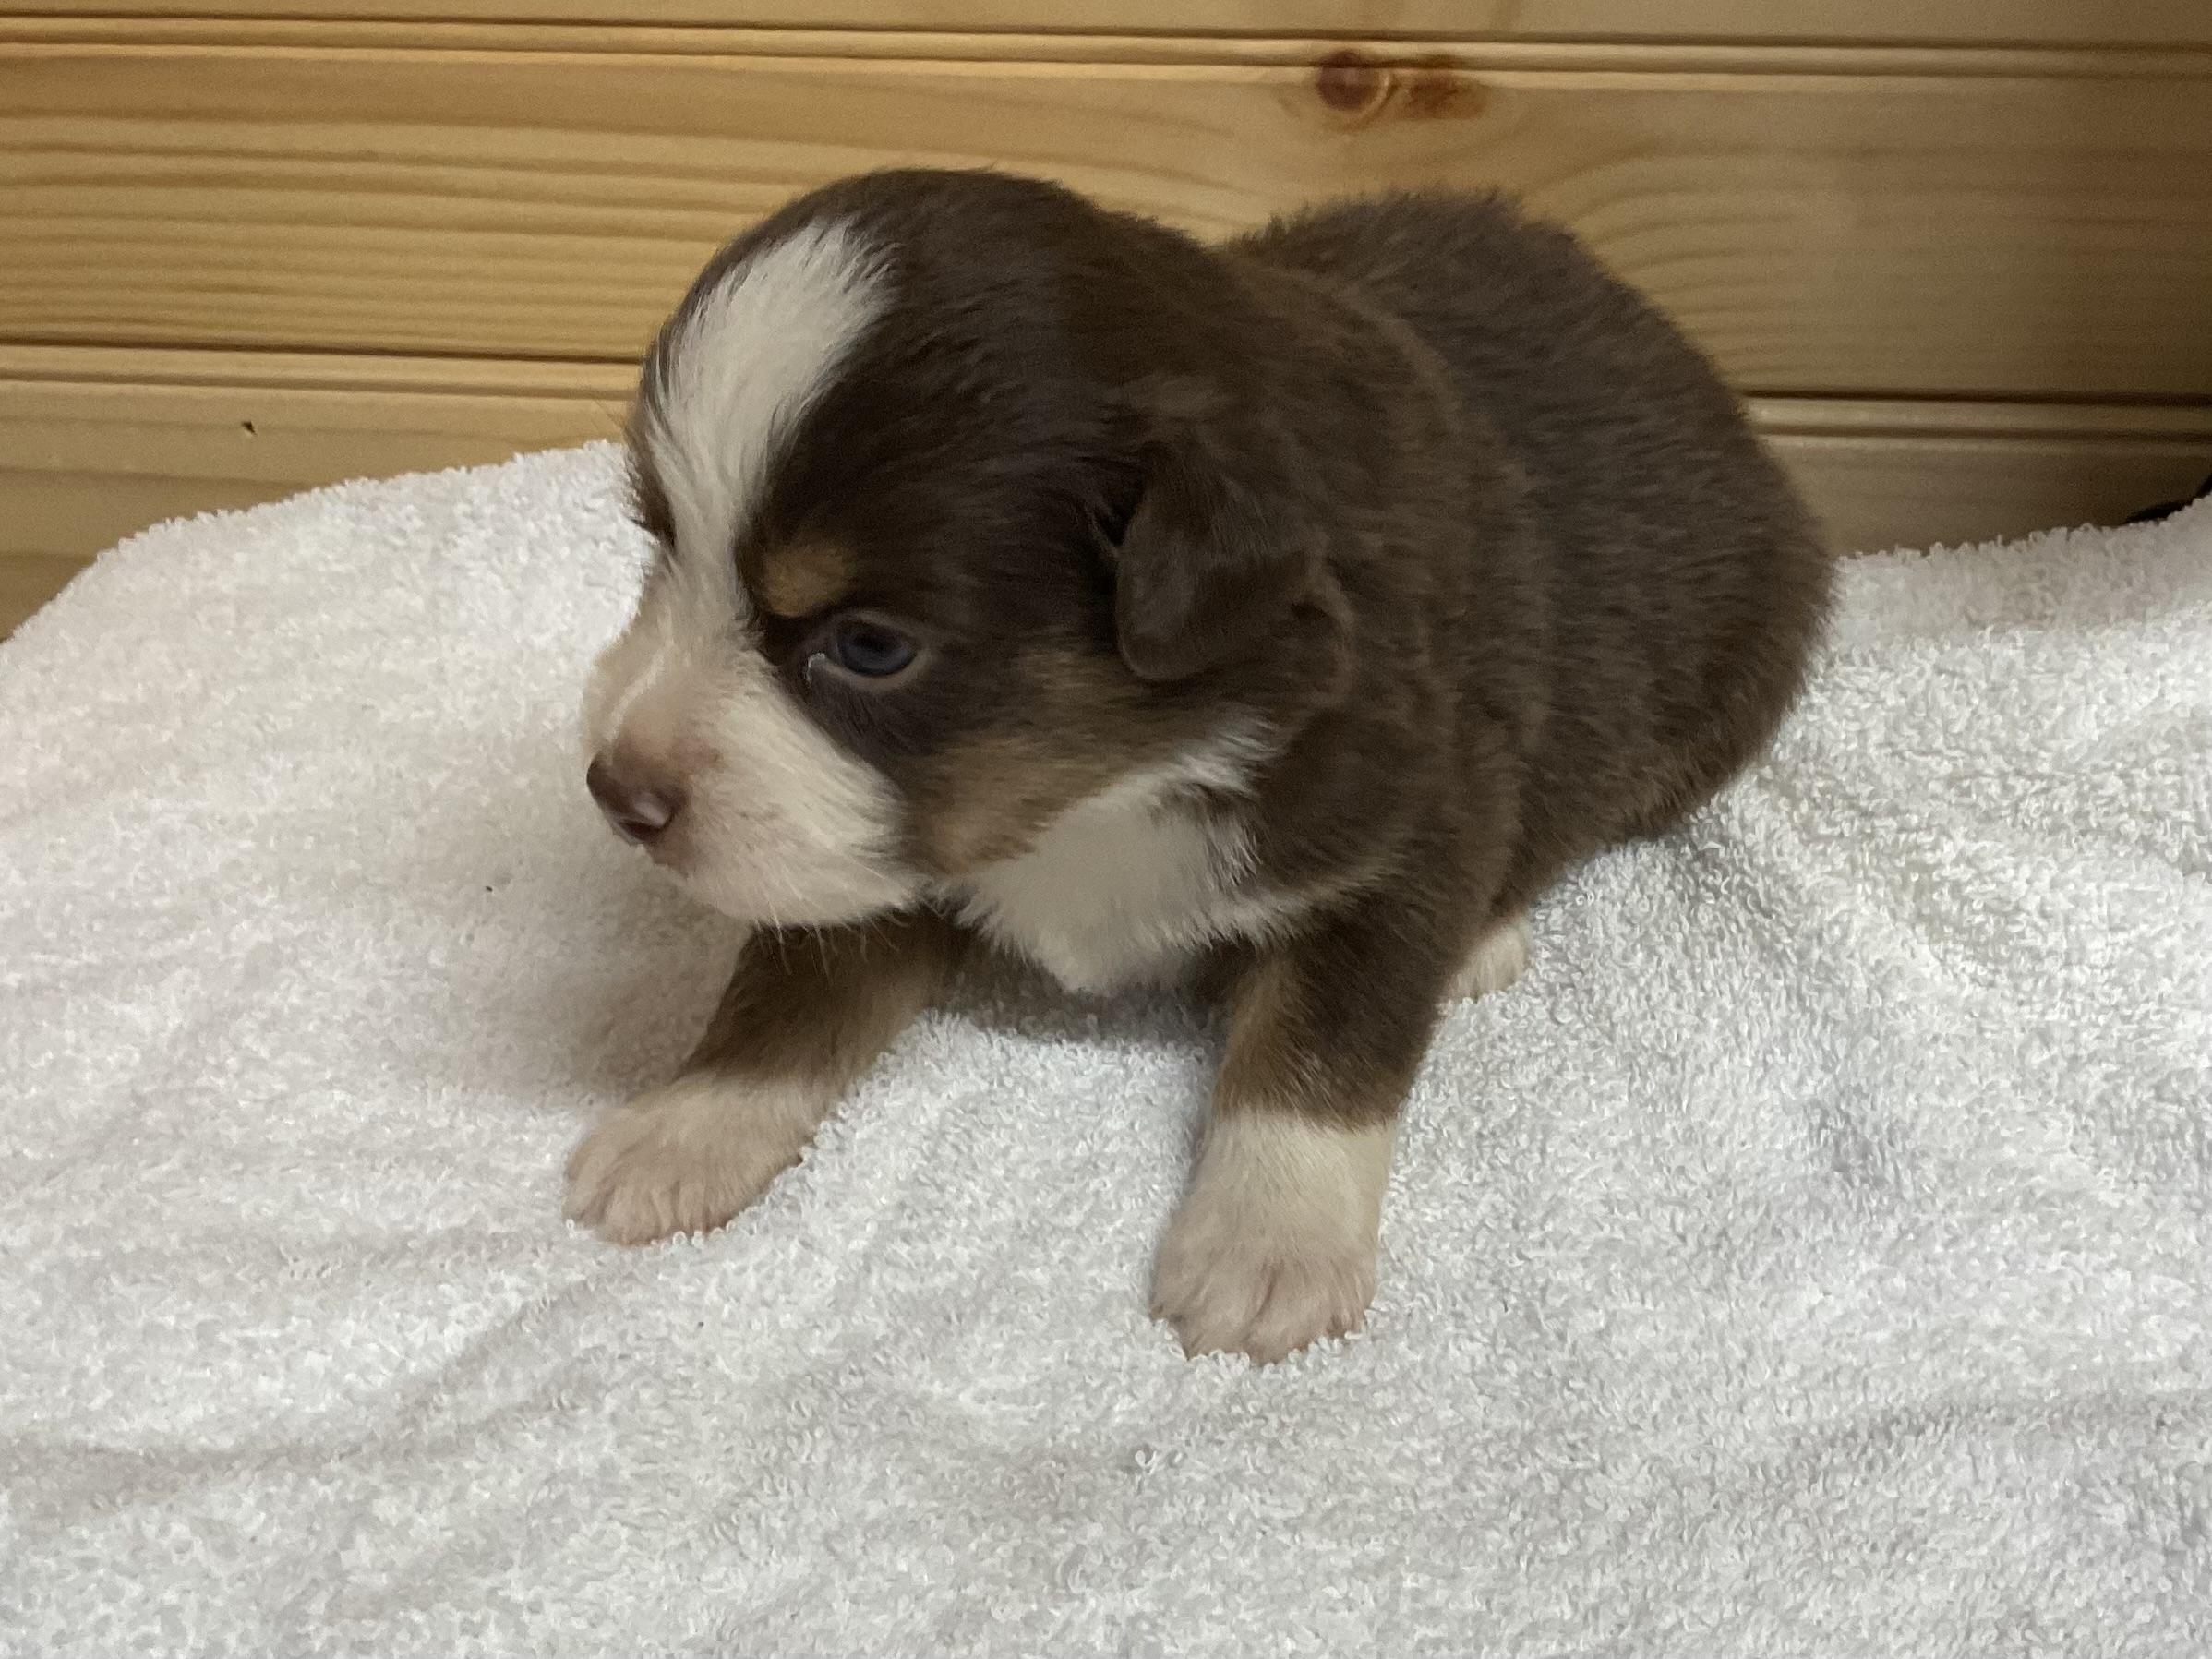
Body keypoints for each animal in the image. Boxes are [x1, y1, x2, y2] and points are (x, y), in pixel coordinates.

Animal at [568, 168, 1832, 1364]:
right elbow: (793, 982)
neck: (1104, 789)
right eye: (662, 548)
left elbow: (1321, 1048)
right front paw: (686, 1125)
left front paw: (1268, 1249)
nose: (616, 793)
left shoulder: (1408, 817)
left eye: (871, 646)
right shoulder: (862, 855)